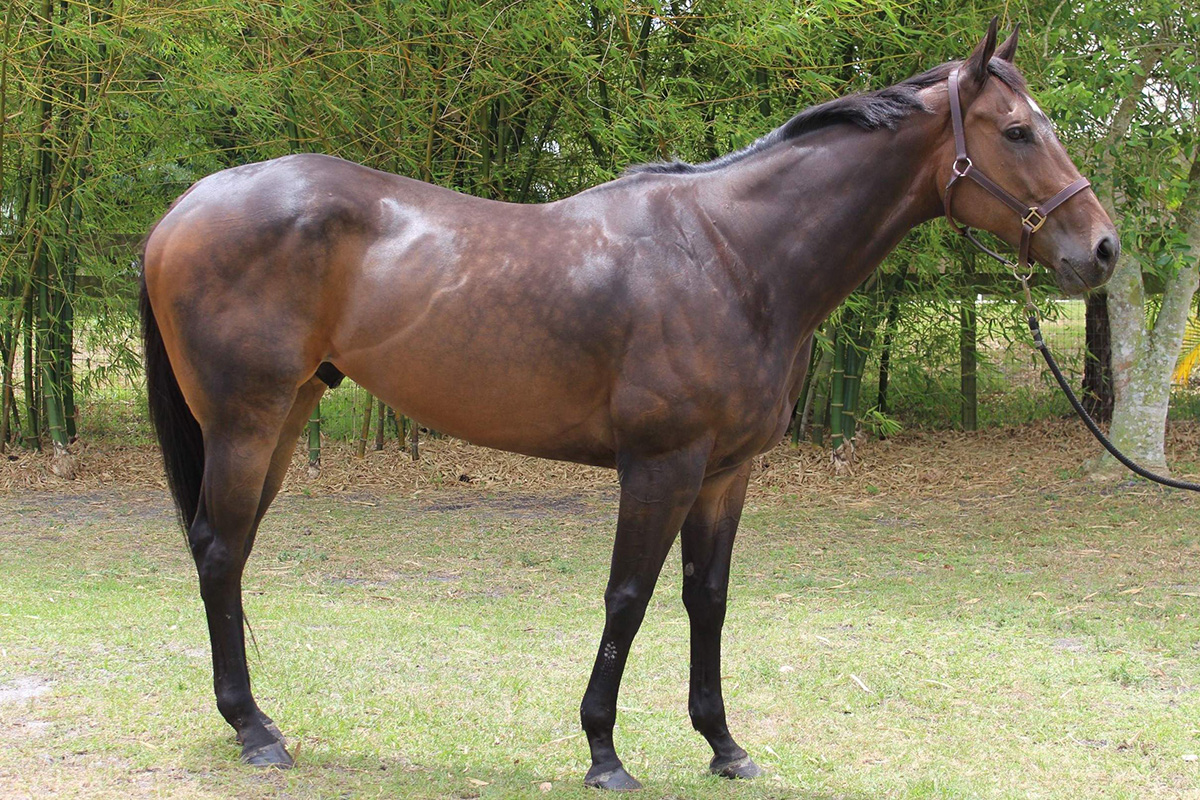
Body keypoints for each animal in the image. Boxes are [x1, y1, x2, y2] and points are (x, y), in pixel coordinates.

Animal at [140, 21, 1113, 791]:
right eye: (1018, 131)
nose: (1100, 250)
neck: (734, 256)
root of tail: (182, 208)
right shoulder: (661, 466)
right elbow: (628, 597)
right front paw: (604, 753)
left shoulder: (725, 473)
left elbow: (705, 598)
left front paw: (723, 745)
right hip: (246, 422)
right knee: (220, 550)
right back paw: (254, 730)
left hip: (286, 416)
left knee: (228, 551)